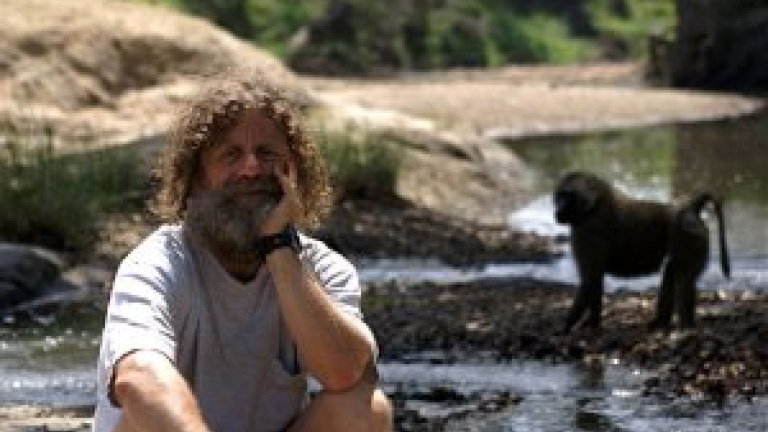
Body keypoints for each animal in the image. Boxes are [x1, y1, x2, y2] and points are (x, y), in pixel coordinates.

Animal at [553, 171, 730, 332]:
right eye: (559, 196)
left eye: (566, 196)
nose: (557, 211)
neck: (595, 205)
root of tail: (689, 208)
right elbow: (594, 280)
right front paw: (593, 325)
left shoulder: (588, 230)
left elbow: (589, 279)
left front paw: (566, 327)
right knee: (672, 274)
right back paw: (661, 324)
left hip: (687, 234)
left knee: (683, 281)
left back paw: (685, 327)